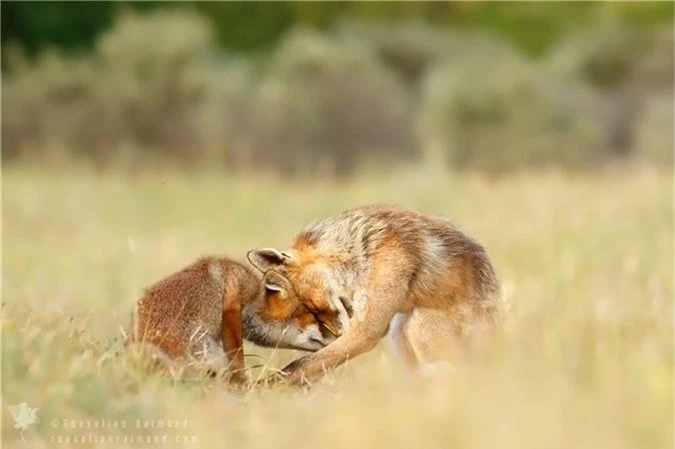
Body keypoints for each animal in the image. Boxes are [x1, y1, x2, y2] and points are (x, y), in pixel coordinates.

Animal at [128, 256, 338, 382]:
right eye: (314, 317)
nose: (338, 337)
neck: (255, 298)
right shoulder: (232, 303)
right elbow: (237, 359)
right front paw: (243, 386)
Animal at [248, 205, 502, 384]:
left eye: (312, 306)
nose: (335, 334)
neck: (363, 251)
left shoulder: (369, 326)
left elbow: (298, 366)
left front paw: (260, 392)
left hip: (419, 320)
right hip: (400, 330)